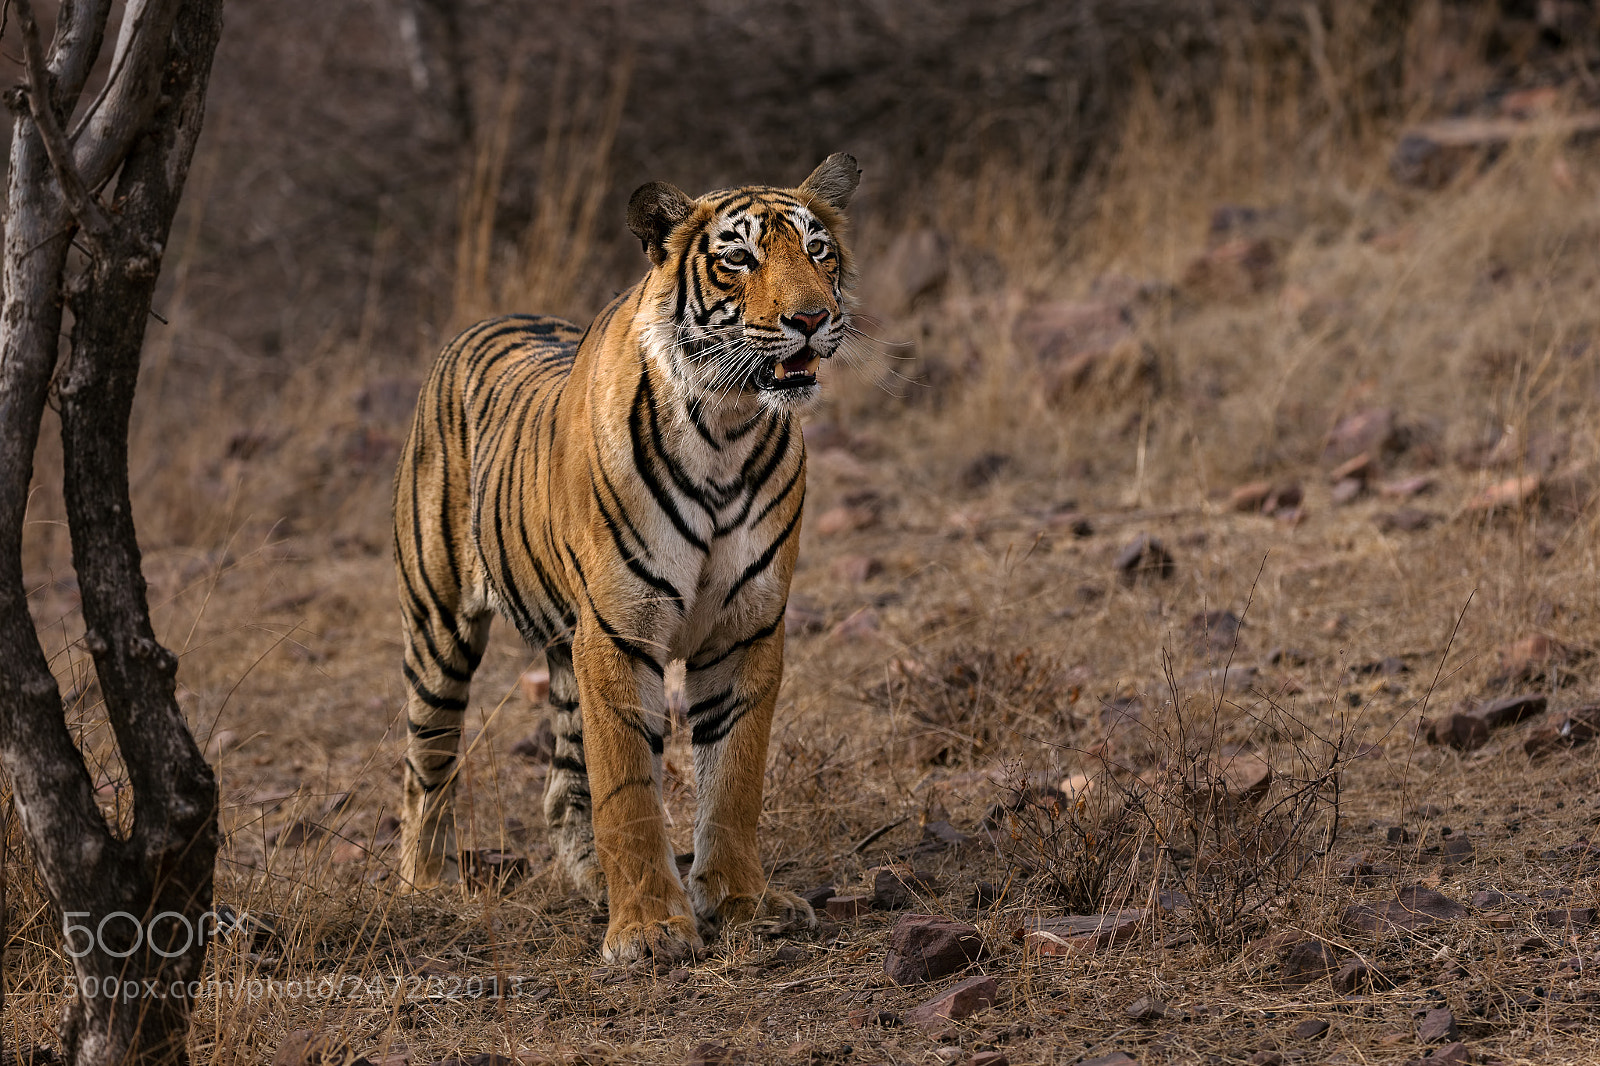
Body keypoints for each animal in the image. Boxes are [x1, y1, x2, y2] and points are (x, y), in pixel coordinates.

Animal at [393, 153, 860, 961]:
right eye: (739, 258)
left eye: (818, 251)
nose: (810, 318)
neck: (729, 428)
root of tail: (482, 322)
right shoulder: (618, 631)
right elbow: (629, 788)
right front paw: (647, 929)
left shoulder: (746, 630)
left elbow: (733, 779)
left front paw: (741, 903)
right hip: (439, 626)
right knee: (427, 762)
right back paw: (423, 886)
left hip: (561, 643)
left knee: (560, 788)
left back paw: (589, 882)